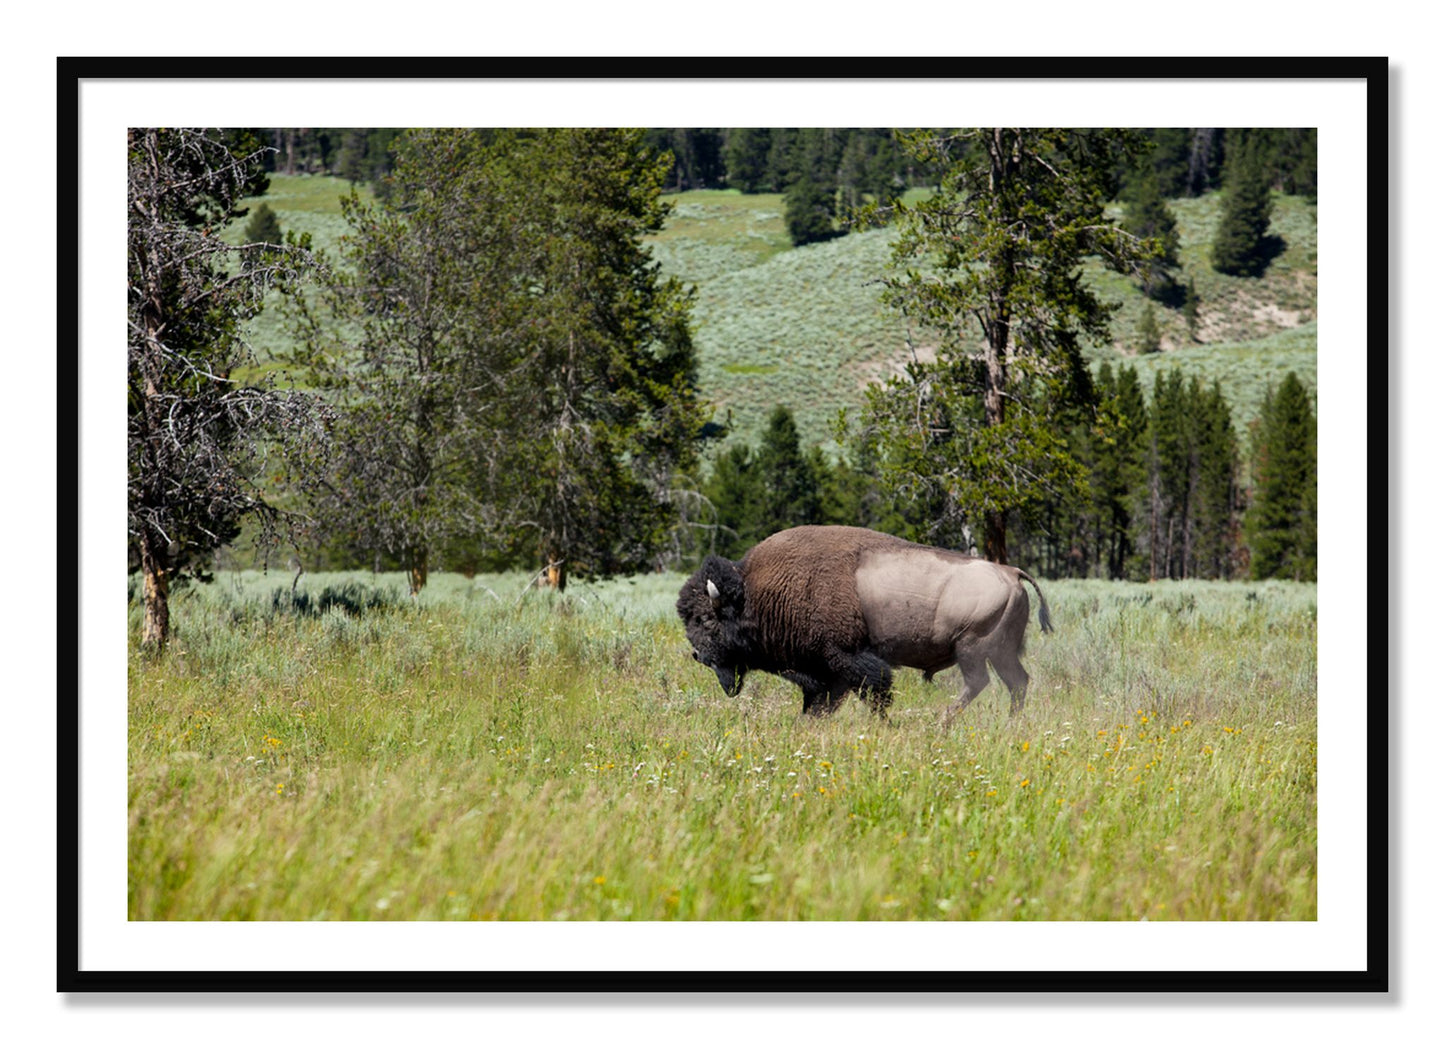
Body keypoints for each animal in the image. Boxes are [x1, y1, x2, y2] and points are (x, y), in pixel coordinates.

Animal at [676, 525, 1052, 721]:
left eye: (706, 620)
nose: (698, 655)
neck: (756, 593)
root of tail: (1010, 572)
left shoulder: (847, 659)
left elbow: (874, 692)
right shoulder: (825, 673)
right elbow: (820, 703)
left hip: (972, 649)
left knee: (980, 682)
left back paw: (942, 722)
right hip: (1000, 652)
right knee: (1017, 682)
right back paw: (1009, 723)